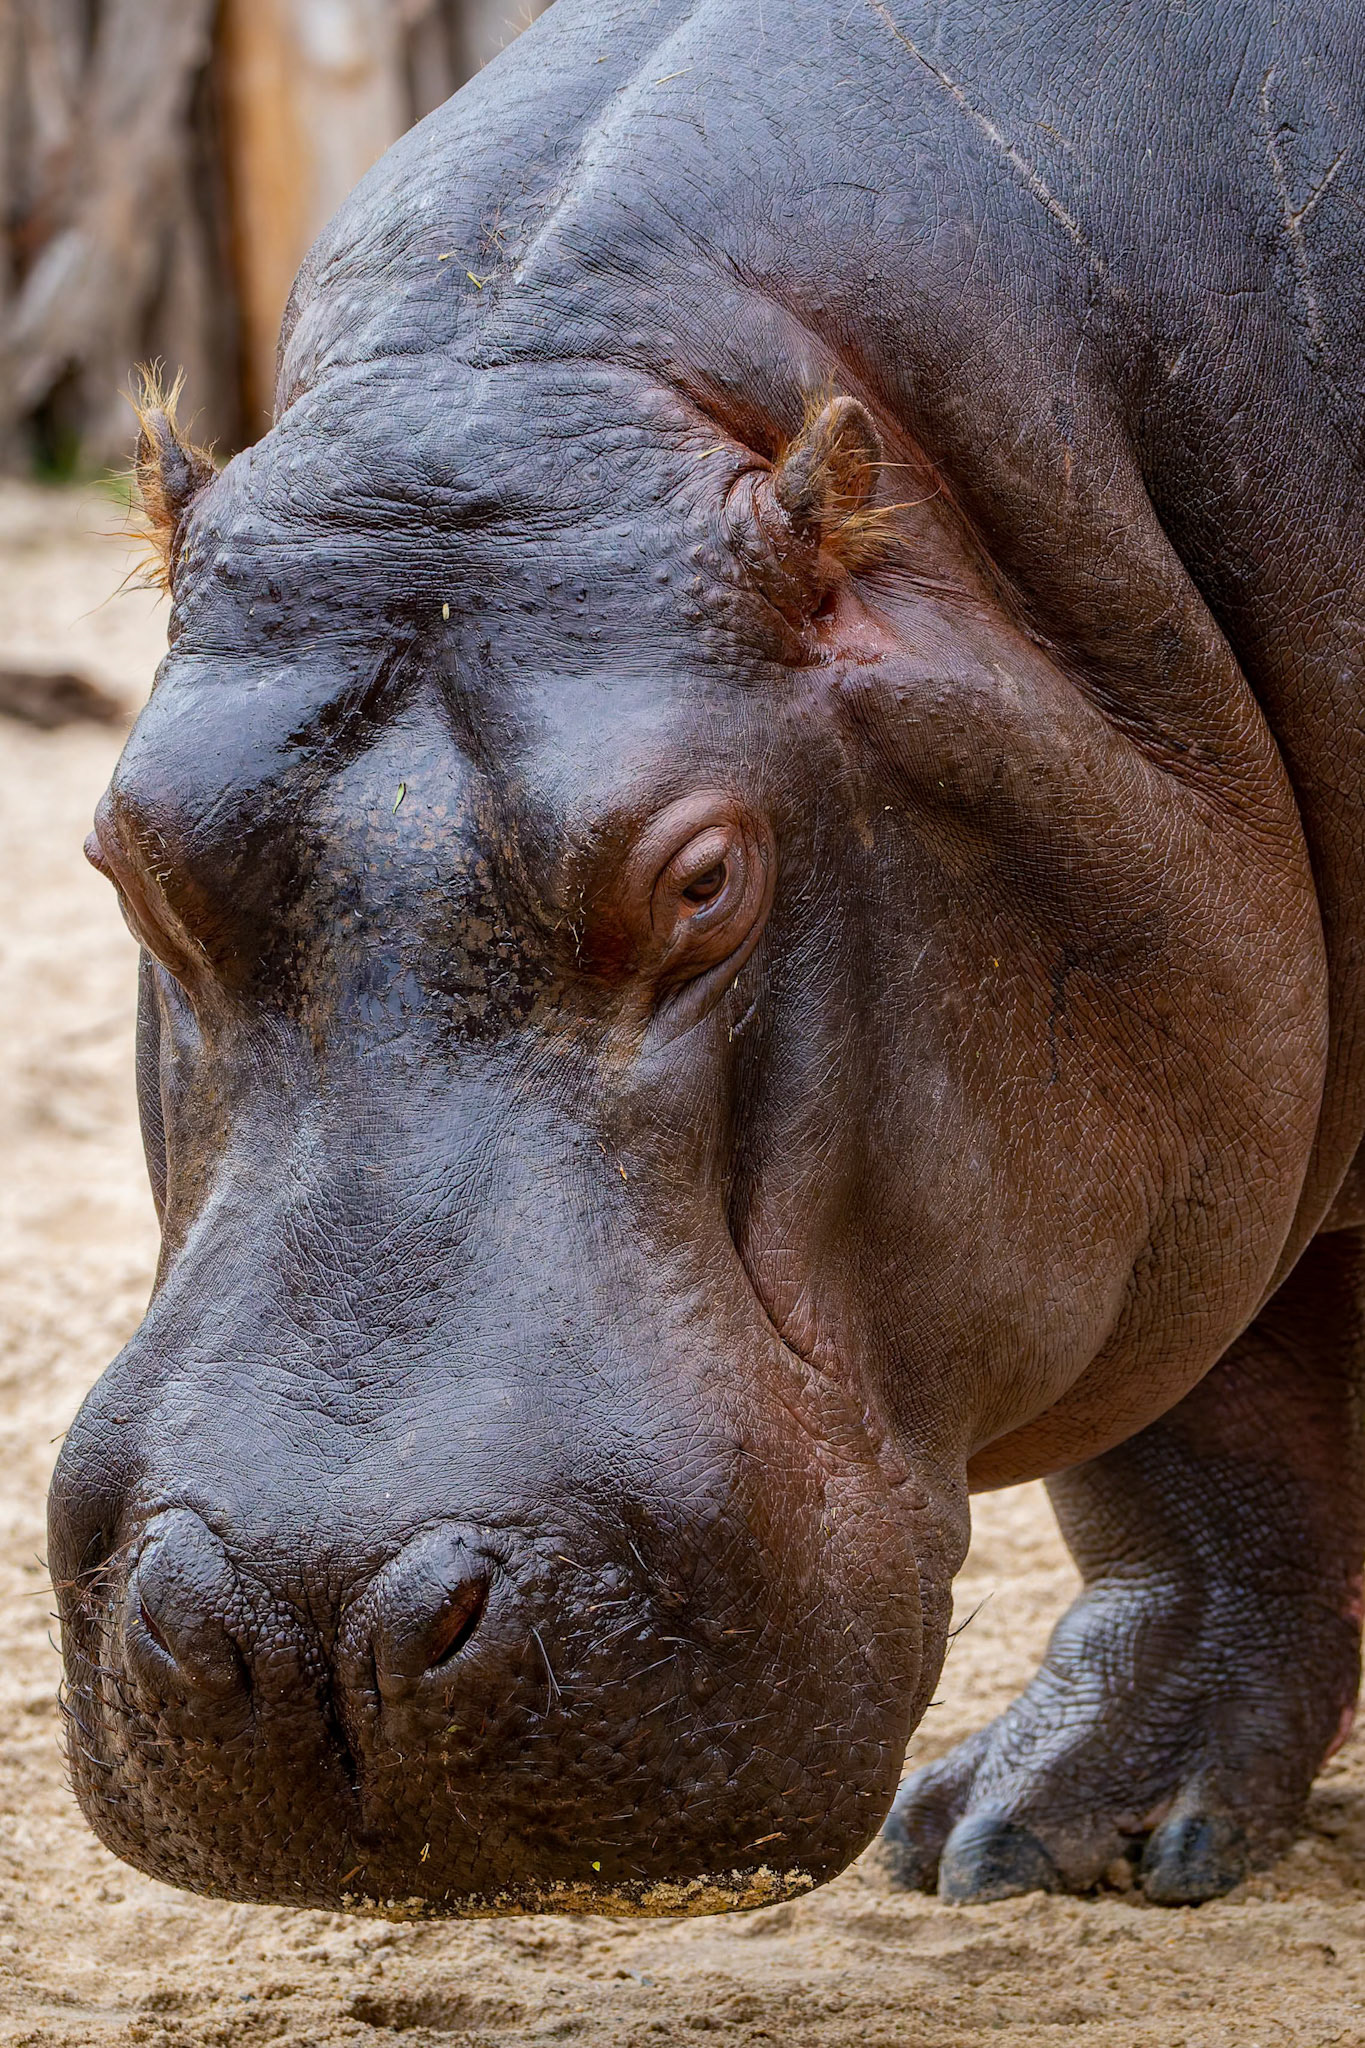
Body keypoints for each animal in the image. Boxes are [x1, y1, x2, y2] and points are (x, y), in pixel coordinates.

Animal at [51, 0, 1365, 1916]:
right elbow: (1207, 1446)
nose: (311, 1627)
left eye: (703, 882)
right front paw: (1027, 1841)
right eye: (131, 851)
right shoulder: (1200, 1099)